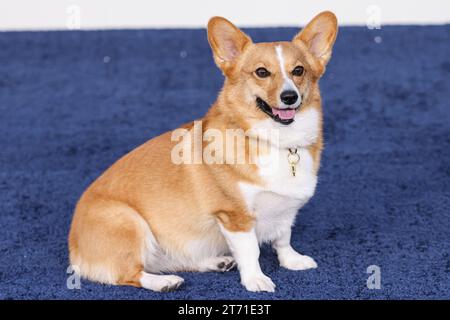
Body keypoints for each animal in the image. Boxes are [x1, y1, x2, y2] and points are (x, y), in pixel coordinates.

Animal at [68, 11, 338, 292]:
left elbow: (283, 238)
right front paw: (255, 279)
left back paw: (215, 262)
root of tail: (74, 249)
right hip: (129, 221)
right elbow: (251, 251)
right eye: (262, 72)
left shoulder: (284, 210)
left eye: (299, 71)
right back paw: (165, 282)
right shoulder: (235, 217)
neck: (276, 140)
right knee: (131, 274)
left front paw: (292, 261)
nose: (289, 97)